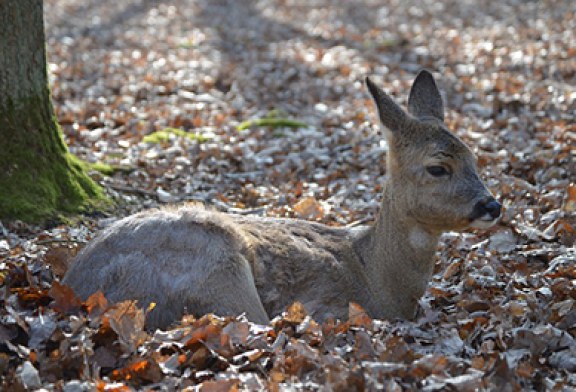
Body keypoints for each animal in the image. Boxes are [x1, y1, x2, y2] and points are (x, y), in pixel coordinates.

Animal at [63, 69, 502, 328]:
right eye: (437, 168)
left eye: (475, 157)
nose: (492, 205)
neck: (378, 280)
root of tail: (74, 285)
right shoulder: (327, 306)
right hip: (219, 273)